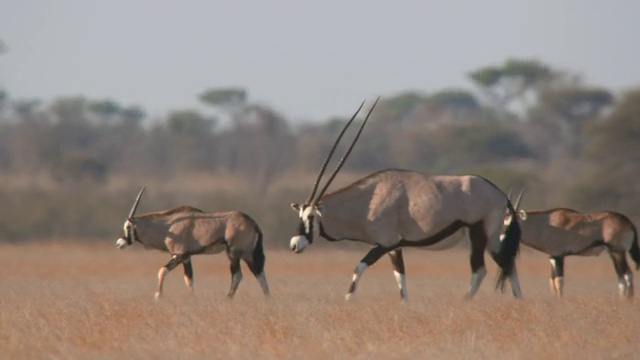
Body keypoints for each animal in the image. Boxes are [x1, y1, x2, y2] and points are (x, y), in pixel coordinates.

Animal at [115, 187, 270, 300]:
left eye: (128, 227)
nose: (118, 243)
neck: (167, 226)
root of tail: (253, 223)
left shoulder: (179, 255)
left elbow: (162, 271)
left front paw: (158, 295)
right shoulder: (186, 257)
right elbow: (189, 279)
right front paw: (192, 298)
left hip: (233, 253)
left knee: (237, 275)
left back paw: (228, 299)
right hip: (247, 254)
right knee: (259, 272)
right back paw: (268, 299)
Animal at [288, 98, 524, 300]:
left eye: (311, 217)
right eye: (299, 215)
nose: (294, 245)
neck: (369, 200)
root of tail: (499, 193)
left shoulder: (385, 243)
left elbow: (359, 267)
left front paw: (347, 299)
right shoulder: (395, 247)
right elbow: (400, 277)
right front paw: (404, 304)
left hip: (478, 234)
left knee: (480, 270)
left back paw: (464, 301)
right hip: (491, 238)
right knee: (507, 263)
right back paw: (519, 301)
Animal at [504, 190, 636, 300]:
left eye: (514, 222)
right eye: (504, 221)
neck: (545, 224)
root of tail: (628, 222)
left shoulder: (559, 256)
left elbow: (559, 281)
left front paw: (560, 301)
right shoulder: (552, 257)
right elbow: (552, 281)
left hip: (617, 251)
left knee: (627, 275)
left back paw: (627, 301)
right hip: (613, 252)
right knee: (622, 277)